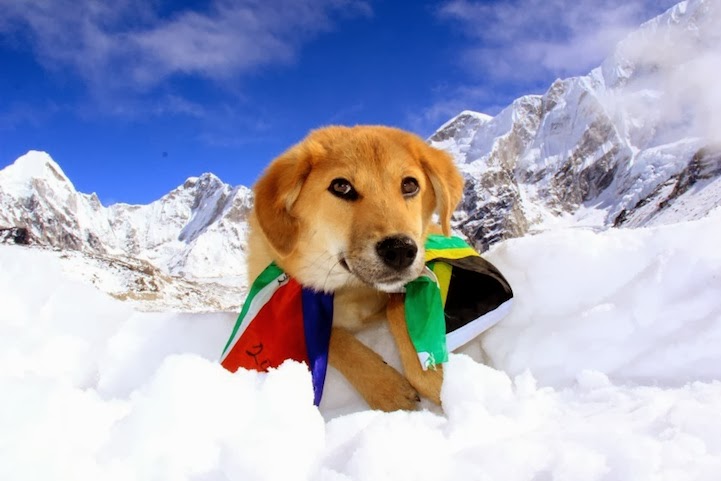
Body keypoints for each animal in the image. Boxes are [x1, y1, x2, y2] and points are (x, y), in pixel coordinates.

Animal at [247, 125, 464, 411]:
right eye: (341, 186)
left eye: (410, 184)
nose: (400, 250)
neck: (348, 288)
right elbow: (332, 337)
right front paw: (387, 388)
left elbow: (399, 307)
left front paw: (433, 375)